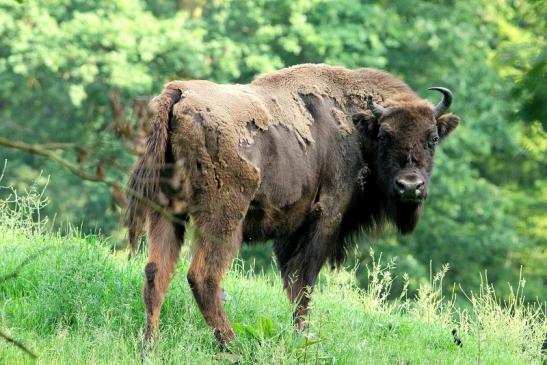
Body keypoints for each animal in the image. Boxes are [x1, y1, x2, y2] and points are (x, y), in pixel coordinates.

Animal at [126, 64, 460, 348]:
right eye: (384, 135)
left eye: (432, 137)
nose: (410, 186)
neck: (356, 126)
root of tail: (179, 93)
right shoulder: (325, 217)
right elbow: (304, 284)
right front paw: (302, 338)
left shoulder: (290, 232)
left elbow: (291, 282)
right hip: (224, 220)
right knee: (203, 277)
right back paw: (232, 347)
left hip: (166, 213)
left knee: (157, 271)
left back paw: (150, 347)